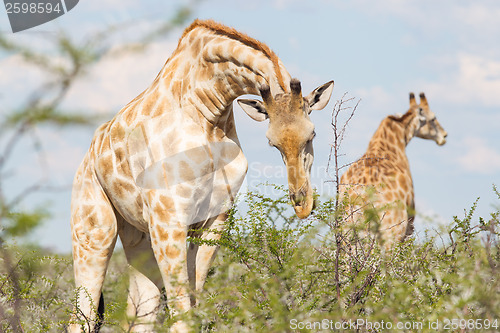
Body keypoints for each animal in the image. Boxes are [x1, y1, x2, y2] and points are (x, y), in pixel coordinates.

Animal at [68, 19, 334, 330]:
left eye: (311, 134)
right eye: (272, 142)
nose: (302, 203)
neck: (207, 114)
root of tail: (88, 156)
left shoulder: (214, 219)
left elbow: (195, 307)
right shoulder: (168, 219)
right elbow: (181, 316)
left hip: (137, 237)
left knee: (140, 314)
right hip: (94, 232)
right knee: (81, 316)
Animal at [338, 92, 448, 248]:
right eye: (433, 118)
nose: (444, 136)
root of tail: (363, 197)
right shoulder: (409, 223)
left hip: (347, 232)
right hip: (390, 232)